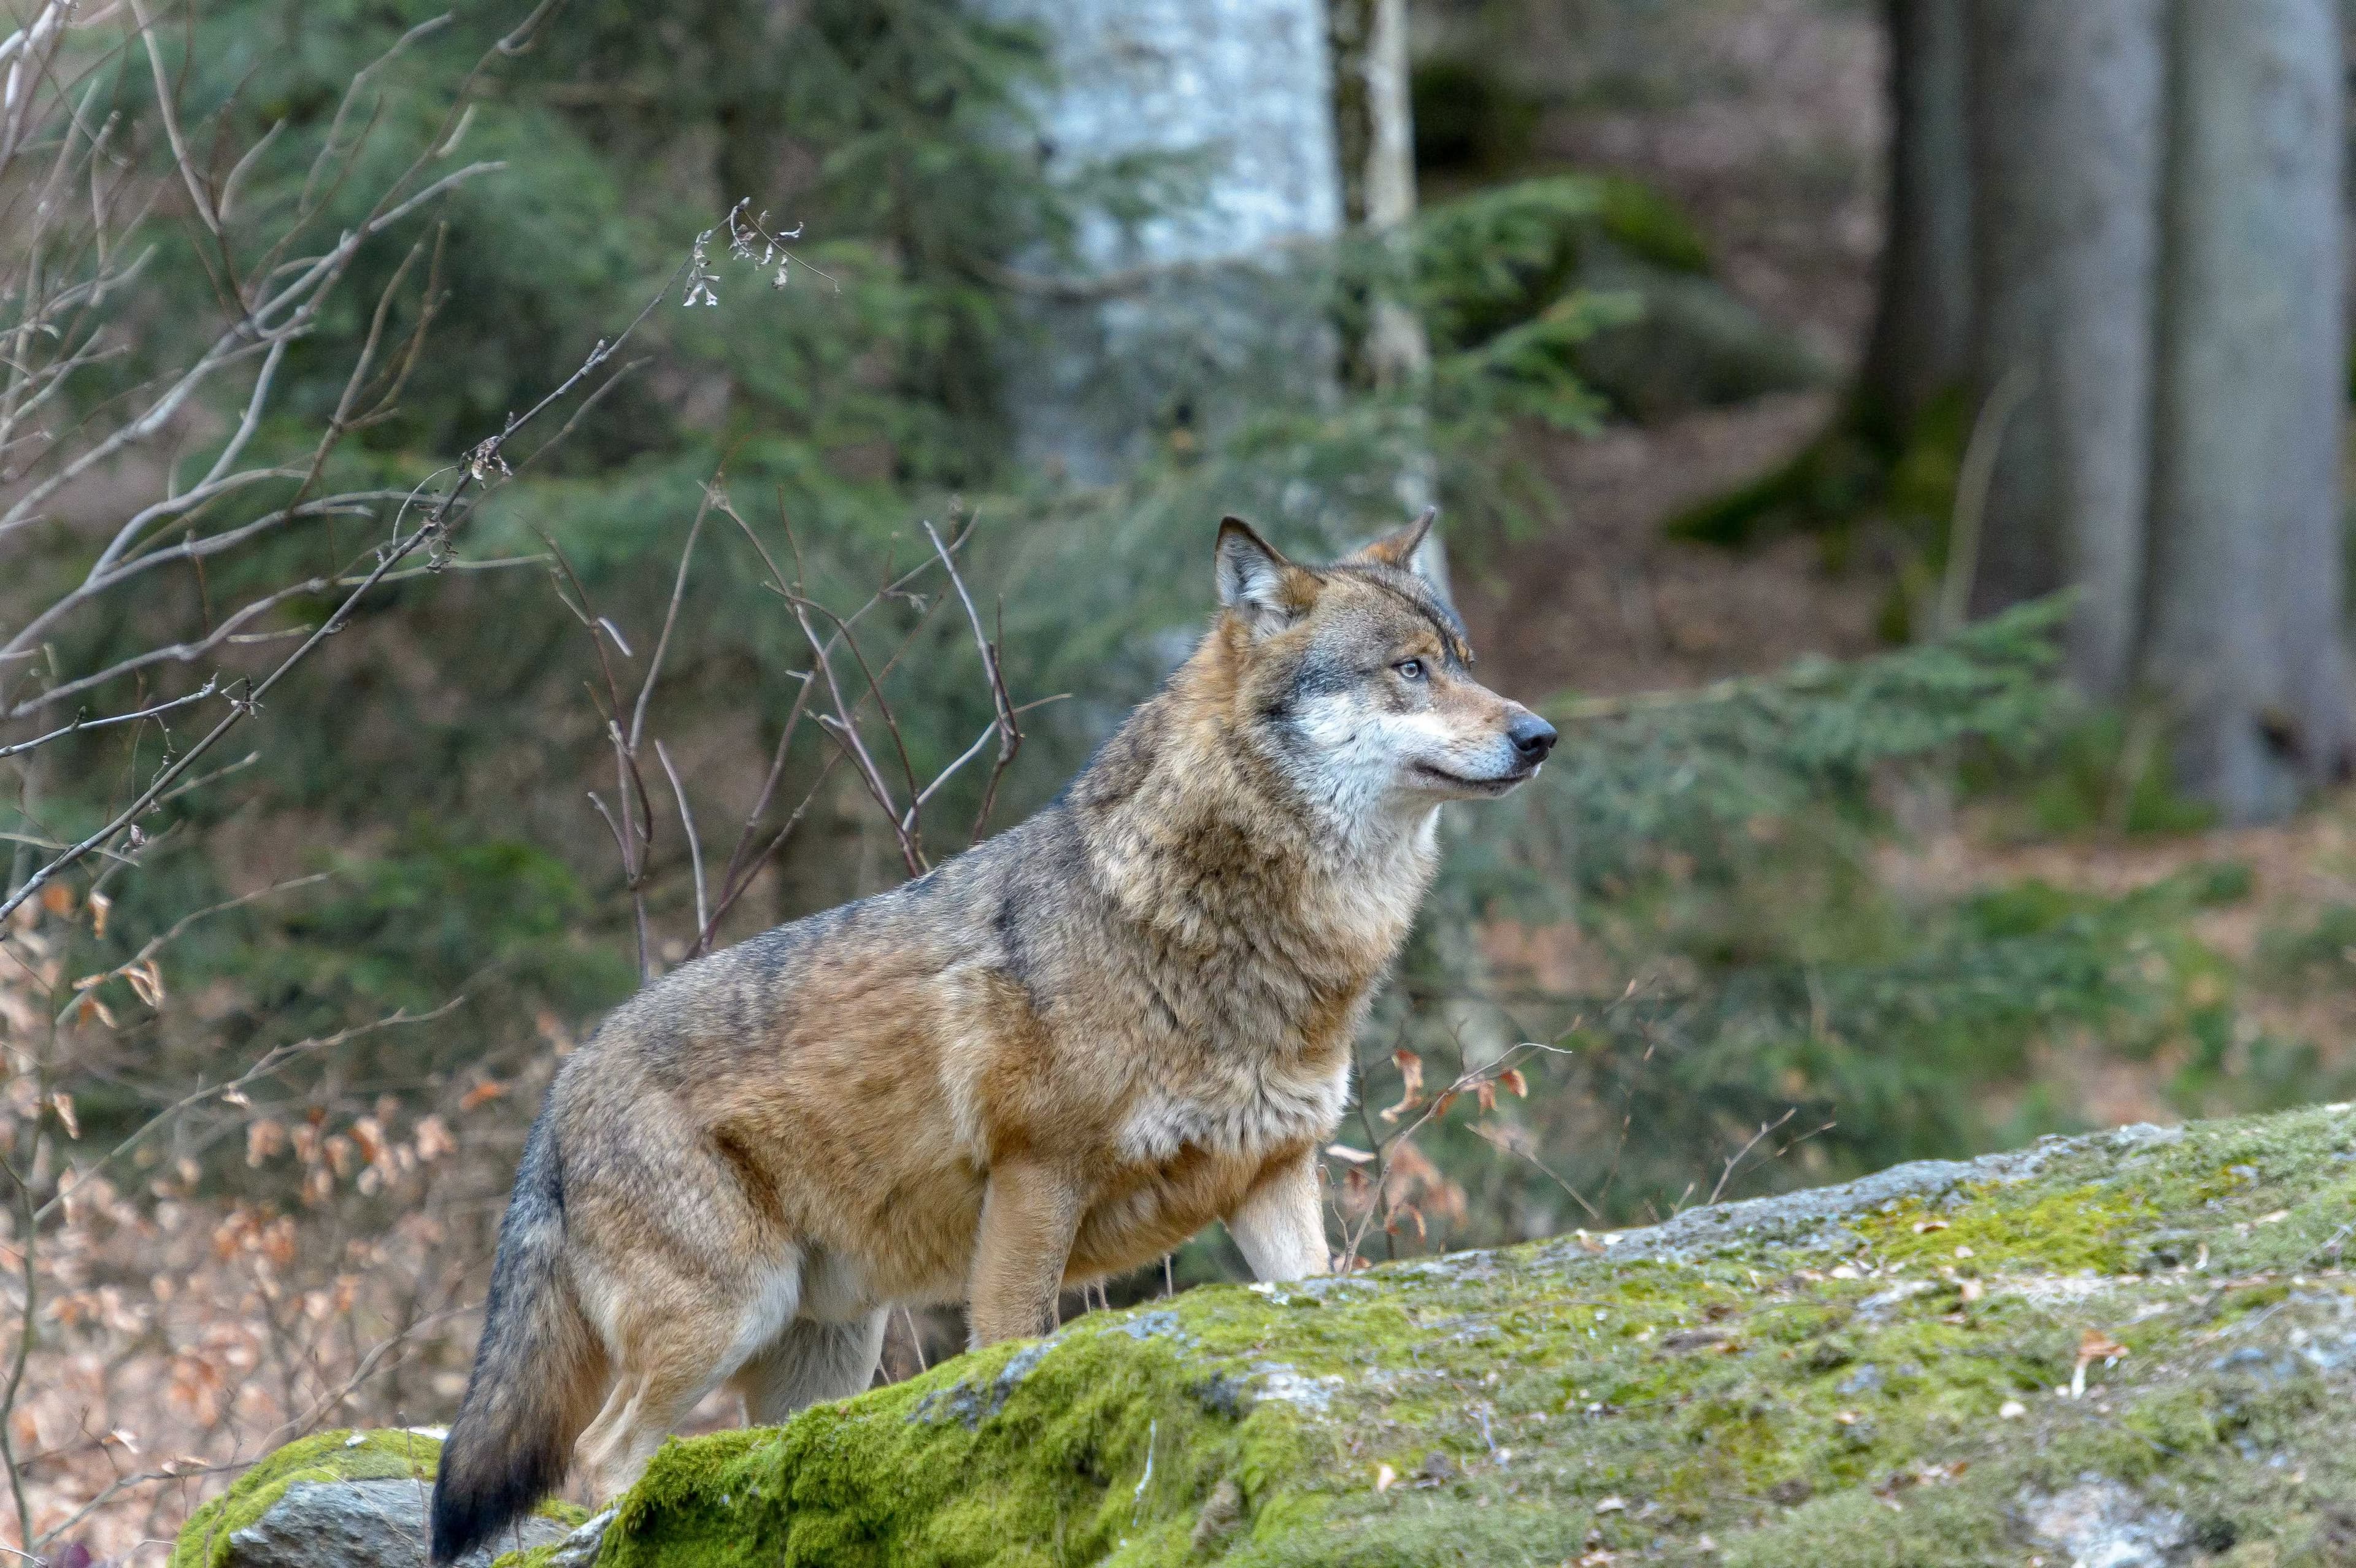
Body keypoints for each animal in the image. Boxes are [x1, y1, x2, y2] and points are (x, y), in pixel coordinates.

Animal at [427, 510, 1556, 1563]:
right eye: (1410, 669)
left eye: (1465, 660)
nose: (1541, 734)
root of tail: (562, 1084)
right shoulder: (1034, 1177)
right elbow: (1013, 1345)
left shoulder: (1276, 1172)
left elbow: (1309, 1290)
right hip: (724, 1317)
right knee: (602, 1451)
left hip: (824, 1351)